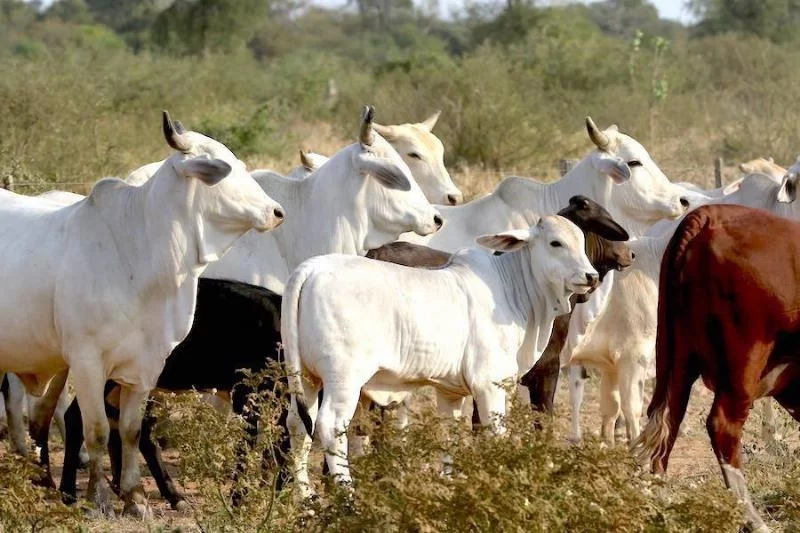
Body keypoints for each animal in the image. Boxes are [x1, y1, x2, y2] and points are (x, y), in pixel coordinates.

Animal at [0, 111, 284, 516]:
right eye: (224, 167)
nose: (276, 212)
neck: (137, 251)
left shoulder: (144, 365)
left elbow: (132, 431)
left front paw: (134, 498)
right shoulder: (88, 361)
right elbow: (98, 430)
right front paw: (97, 500)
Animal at [284, 214, 596, 496]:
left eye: (582, 243)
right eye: (555, 243)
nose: (591, 276)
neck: (512, 290)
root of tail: (310, 269)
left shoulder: (450, 393)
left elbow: (450, 436)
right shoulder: (490, 386)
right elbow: (494, 435)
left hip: (305, 377)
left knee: (298, 427)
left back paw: (307, 500)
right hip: (344, 380)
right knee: (331, 428)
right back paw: (348, 498)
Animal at [632, 202, 800, 528]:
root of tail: (711, 215)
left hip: (676, 356)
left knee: (667, 421)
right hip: (744, 360)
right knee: (722, 425)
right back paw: (755, 521)